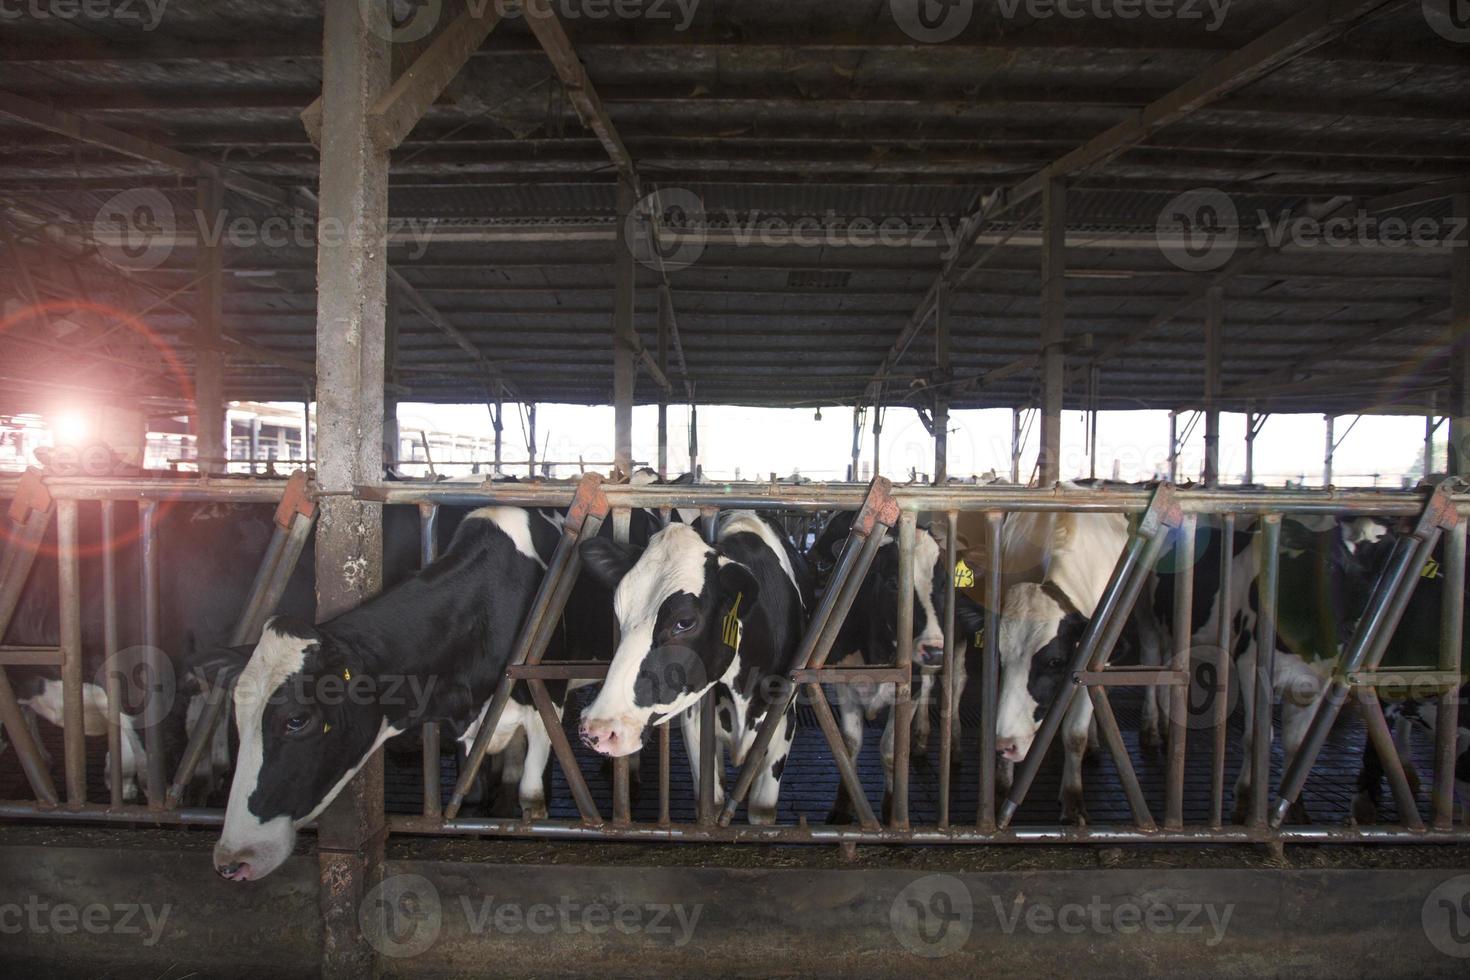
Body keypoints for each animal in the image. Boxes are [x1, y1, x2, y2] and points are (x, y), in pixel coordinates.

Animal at [210, 511, 611, 887]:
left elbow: (532, 794)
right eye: (238, 716)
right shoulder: (465, 724)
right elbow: (472, 794)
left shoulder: (546, 696)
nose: (232, 861)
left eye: (296, 720)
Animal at [573, 514, 811, 828]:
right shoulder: (695, 721)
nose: (597, 729)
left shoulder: (783, 722)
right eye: (619, 611)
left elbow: (762, 811)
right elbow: (711, 800)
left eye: (684, 622)